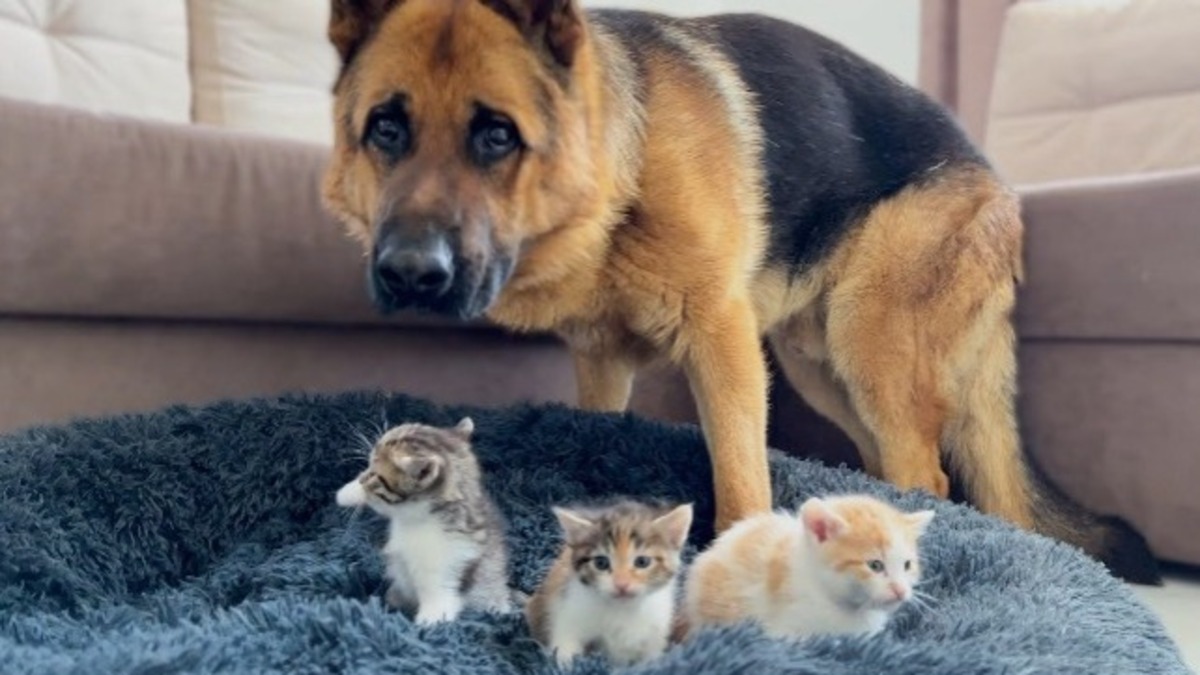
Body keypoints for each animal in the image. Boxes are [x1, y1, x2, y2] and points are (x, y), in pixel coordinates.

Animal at [321, 0, 1161, 581]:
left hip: (869, 347)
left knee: (929, 472)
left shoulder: (721, 342)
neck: (623, 174)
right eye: (386, 130)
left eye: (496, 135)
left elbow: (738, 477)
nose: (411, 275)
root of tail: (996, 179)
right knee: (887, 461)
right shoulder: (602, 361)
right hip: (823, 370)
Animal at [336, 417, 513, 624]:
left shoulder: (448, 563)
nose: (363, 477)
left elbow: (439, 597)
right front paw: (347, 492)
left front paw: (427, 625)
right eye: (369, 467)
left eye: (375, 475)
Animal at [525, 497, 696, 662]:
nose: (622, 584)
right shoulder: (568, 611)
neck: (623, 610)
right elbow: (565, 645)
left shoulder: (656, 631)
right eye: (601, 563)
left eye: (642, 562)